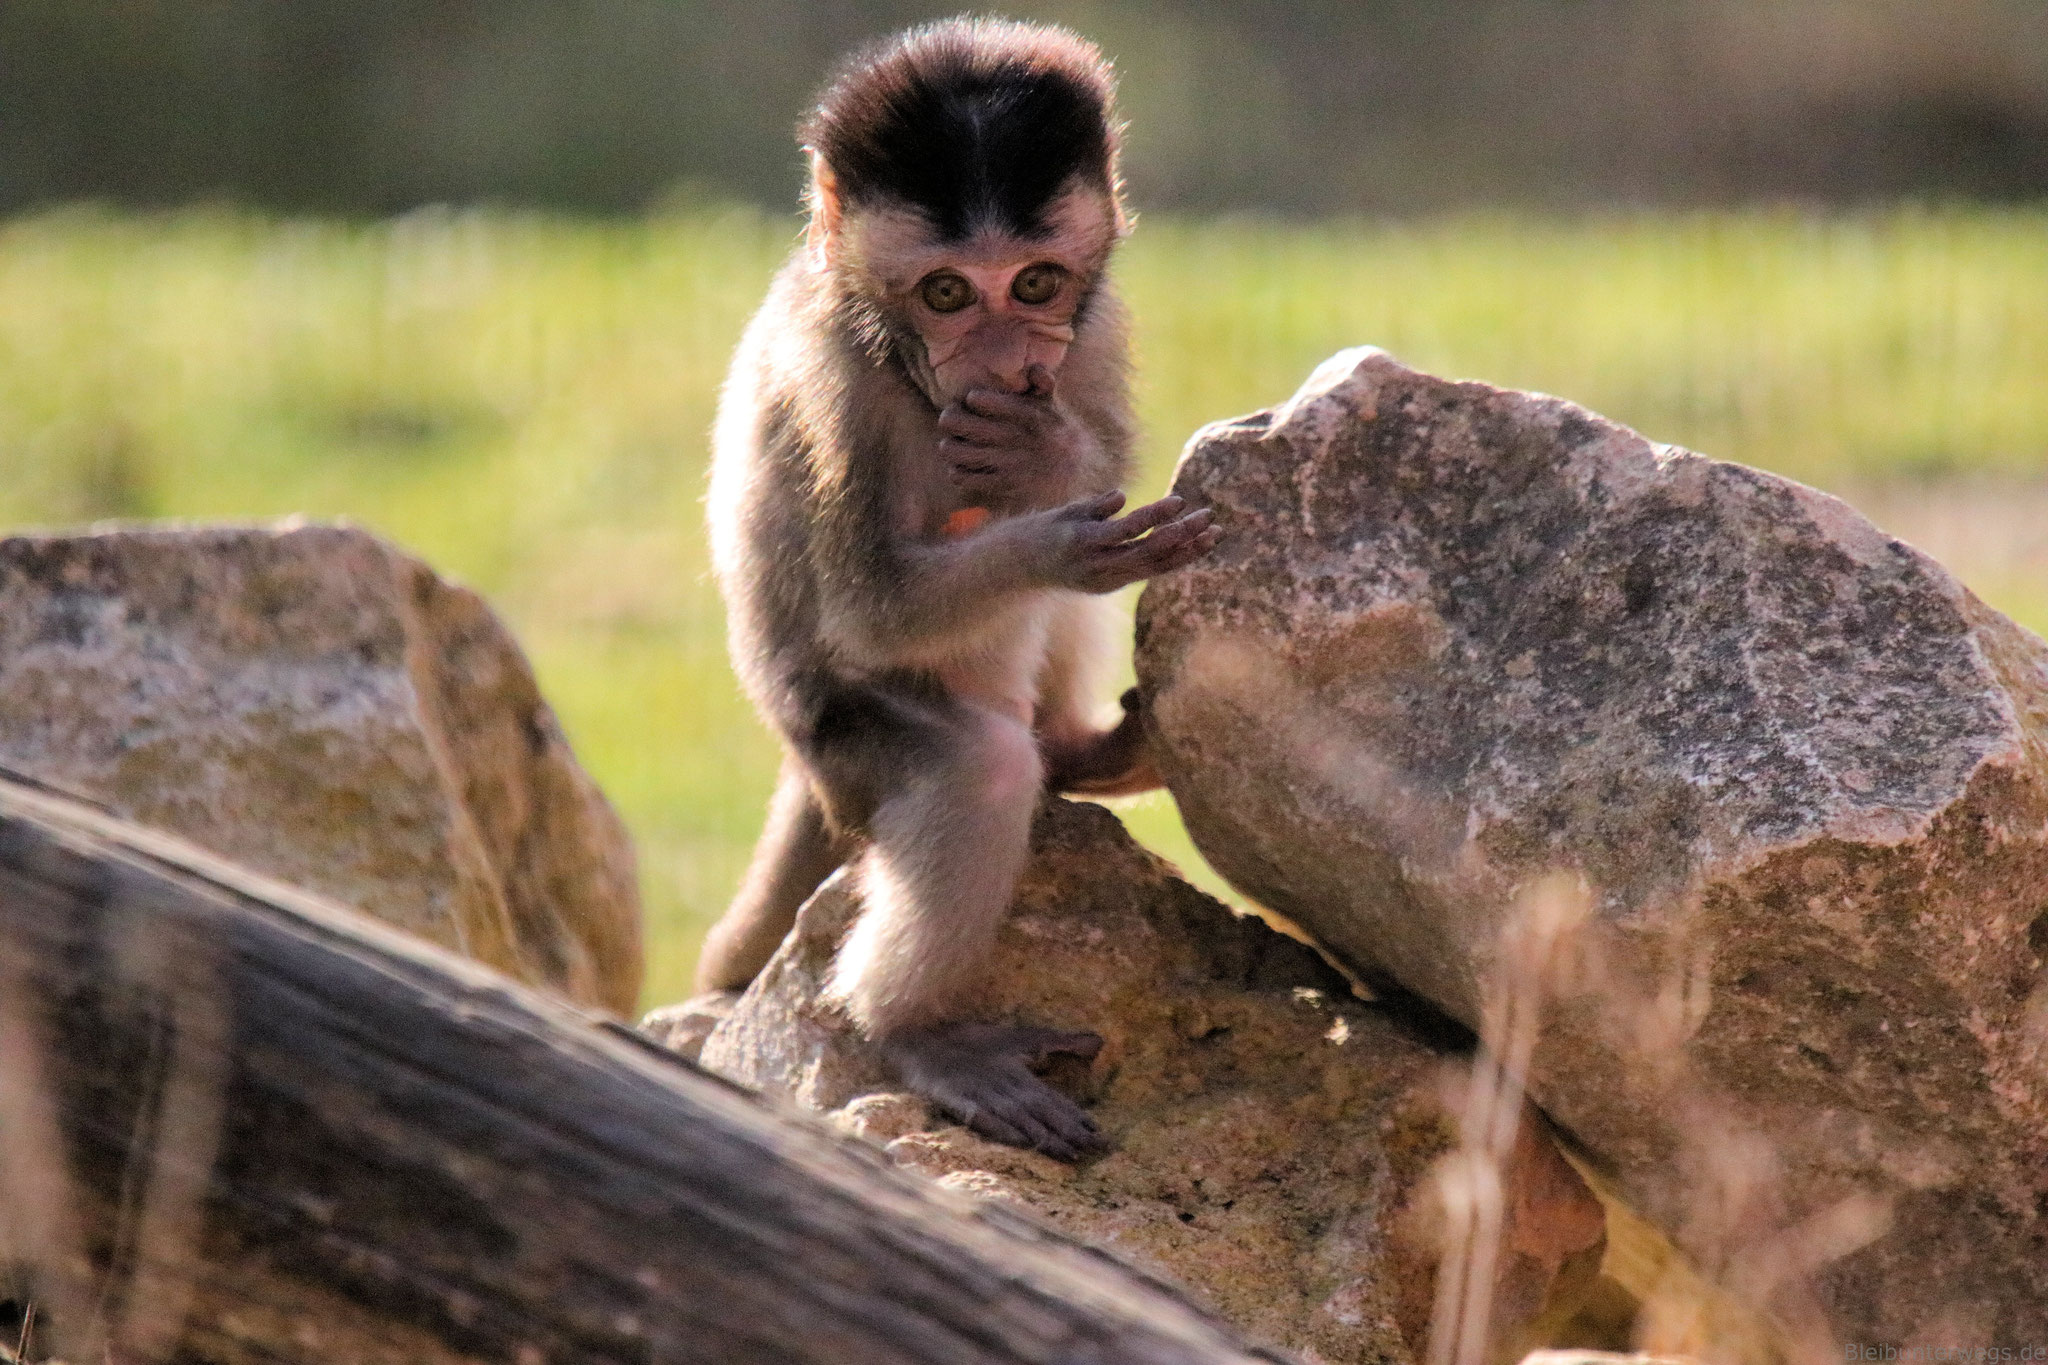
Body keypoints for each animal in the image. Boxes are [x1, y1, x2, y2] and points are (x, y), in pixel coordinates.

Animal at [696, 15, 1220, 1162]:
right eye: (945, 293)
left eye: (1033, 285)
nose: (1003, 360)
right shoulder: (835, 382)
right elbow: (868, 607)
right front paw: (1055, 546)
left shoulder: (1092, 330)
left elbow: (1098, 455)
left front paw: (1043, 452)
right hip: (842, 749)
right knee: (980, 765)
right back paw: (914, 1033)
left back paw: (1078, 749)